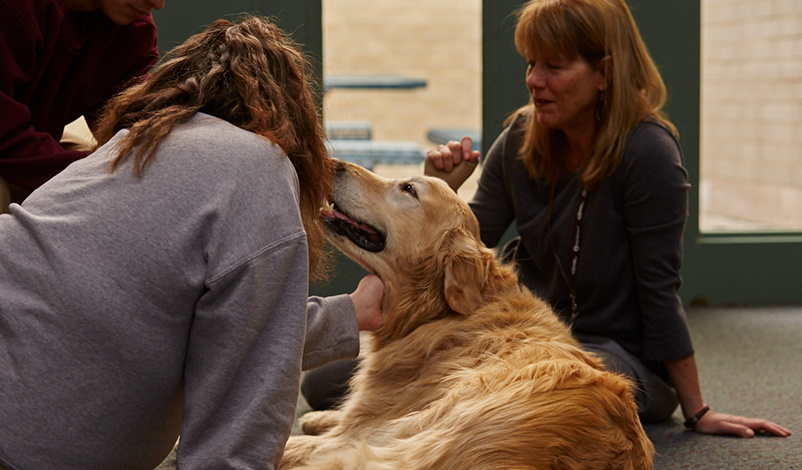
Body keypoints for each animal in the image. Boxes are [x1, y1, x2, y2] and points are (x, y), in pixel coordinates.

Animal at [280, 160, 648, 468]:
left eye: (408, 188)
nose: (332, 163)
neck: (435, 312)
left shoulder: (356, 432)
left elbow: (311, 439)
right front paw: (319, 416)